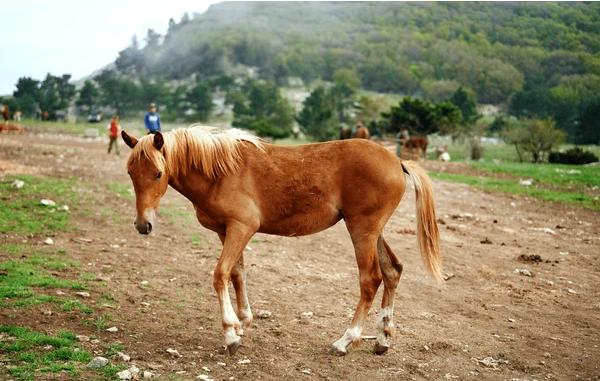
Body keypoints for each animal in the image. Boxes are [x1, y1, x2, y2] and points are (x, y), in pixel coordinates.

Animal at [122, 126, 440, 354]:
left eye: (158, 173)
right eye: (130, 172)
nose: (143, 225)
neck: (220, 172)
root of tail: (397, 161)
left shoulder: (242, 228)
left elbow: (220, 274)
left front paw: (230, 334)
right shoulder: (227, 231)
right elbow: (237, 273)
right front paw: (242, 322)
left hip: (362, 230)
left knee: (370, 279)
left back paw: (345, 341)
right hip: (374, 232)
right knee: (392, 271)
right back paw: (383, 339)